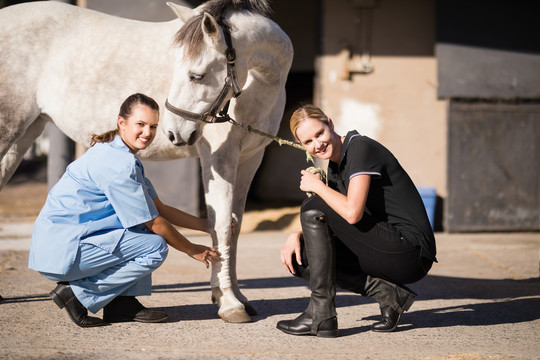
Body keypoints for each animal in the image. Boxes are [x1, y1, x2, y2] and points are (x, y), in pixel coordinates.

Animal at [0, 0, 294, 322]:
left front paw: (236, 296)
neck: (259, 86)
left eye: (197, 75)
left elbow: (233, 227)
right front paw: (229, 303)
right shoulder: (220, 160)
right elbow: (220, 227)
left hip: (25, 135)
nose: (173, 132)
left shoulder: (250, 159)